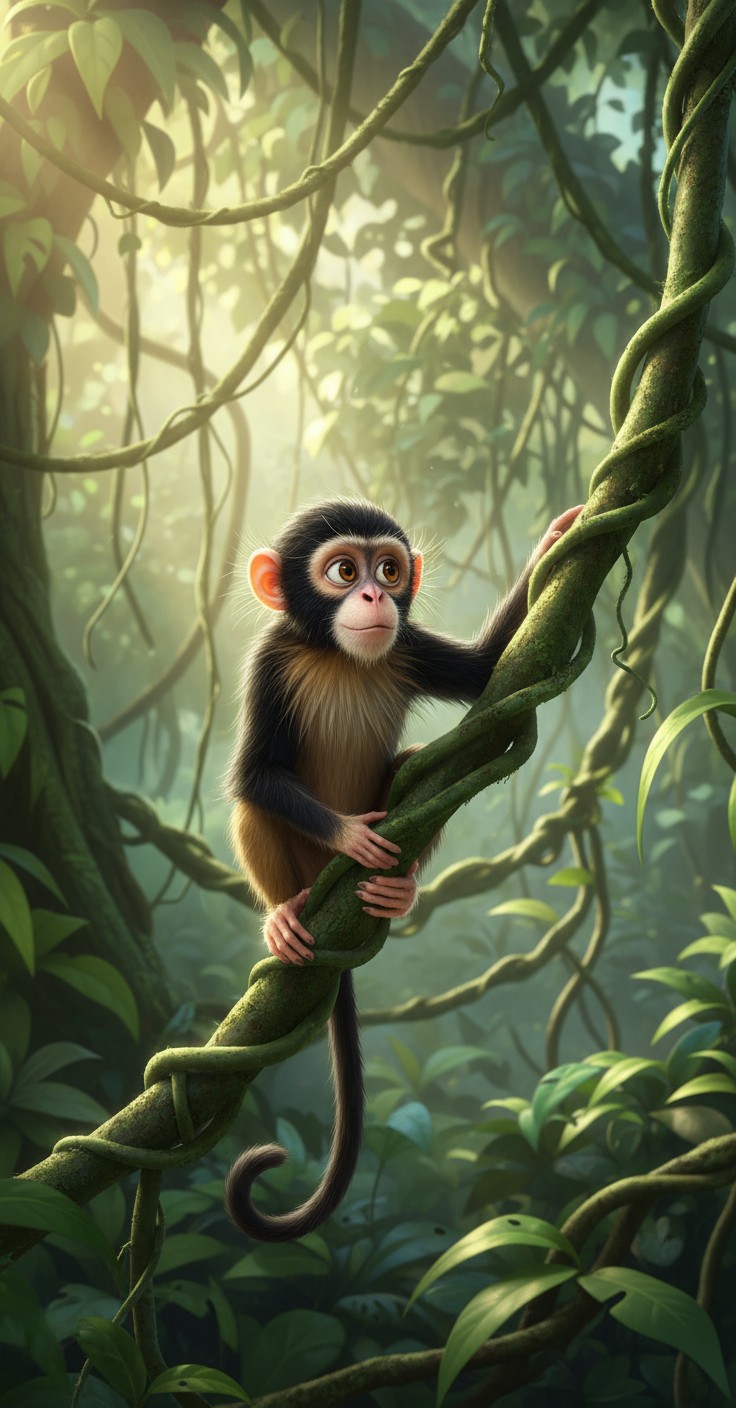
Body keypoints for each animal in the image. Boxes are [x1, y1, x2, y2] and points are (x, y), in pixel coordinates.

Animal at [224, 497, 583, 1241]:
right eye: (342, 571)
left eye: (389, 570)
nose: (374, 596)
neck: (334, 655)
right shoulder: (269, 661)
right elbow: (254, 776)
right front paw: (354, 837)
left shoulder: (408, 644)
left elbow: (488, 673)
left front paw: (556, 538)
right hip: (303, 867)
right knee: (253, 805)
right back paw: (286, 914)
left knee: (419, 763)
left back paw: (398, 890)